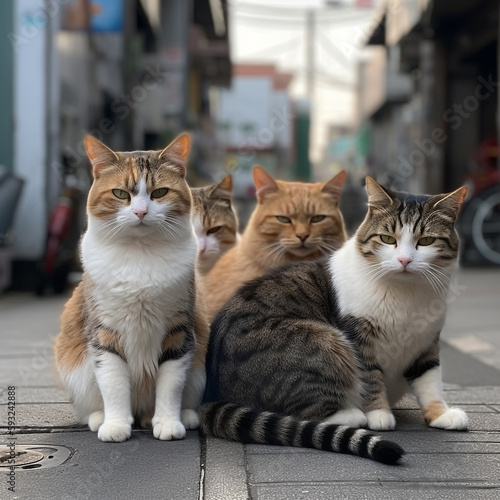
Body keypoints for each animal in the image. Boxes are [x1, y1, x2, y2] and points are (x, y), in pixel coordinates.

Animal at [55, 133, 209, 442]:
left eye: (159, 193)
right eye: (120, 193)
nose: (140, 211)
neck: (140, 253)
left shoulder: (179, 331)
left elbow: (171, 382)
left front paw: (168, 423)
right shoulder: (104, 331)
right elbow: (113, 381)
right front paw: (115, 426)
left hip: (199, 371)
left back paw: (182, 416)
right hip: (75, 372)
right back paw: (100, 418)